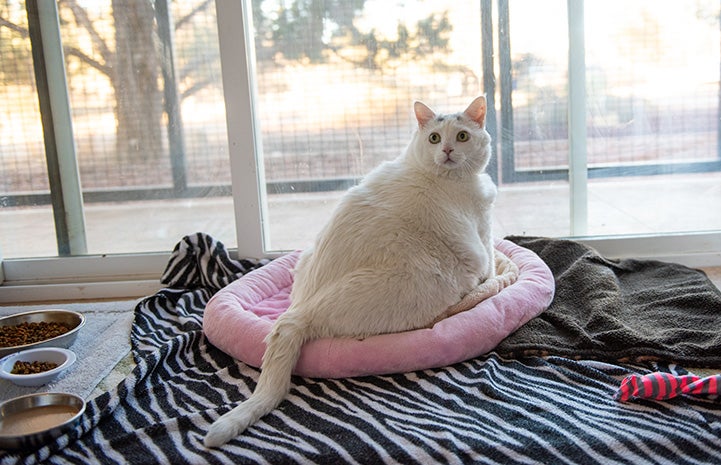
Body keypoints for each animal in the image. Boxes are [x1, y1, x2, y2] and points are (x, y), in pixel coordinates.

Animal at [205, 94, 516, 446]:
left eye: (462, 136)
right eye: (435, 138)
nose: (448, 150)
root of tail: (301, 310)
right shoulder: (481, 234)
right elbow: (490, 265)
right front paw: (493, 278)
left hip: (305, 257)